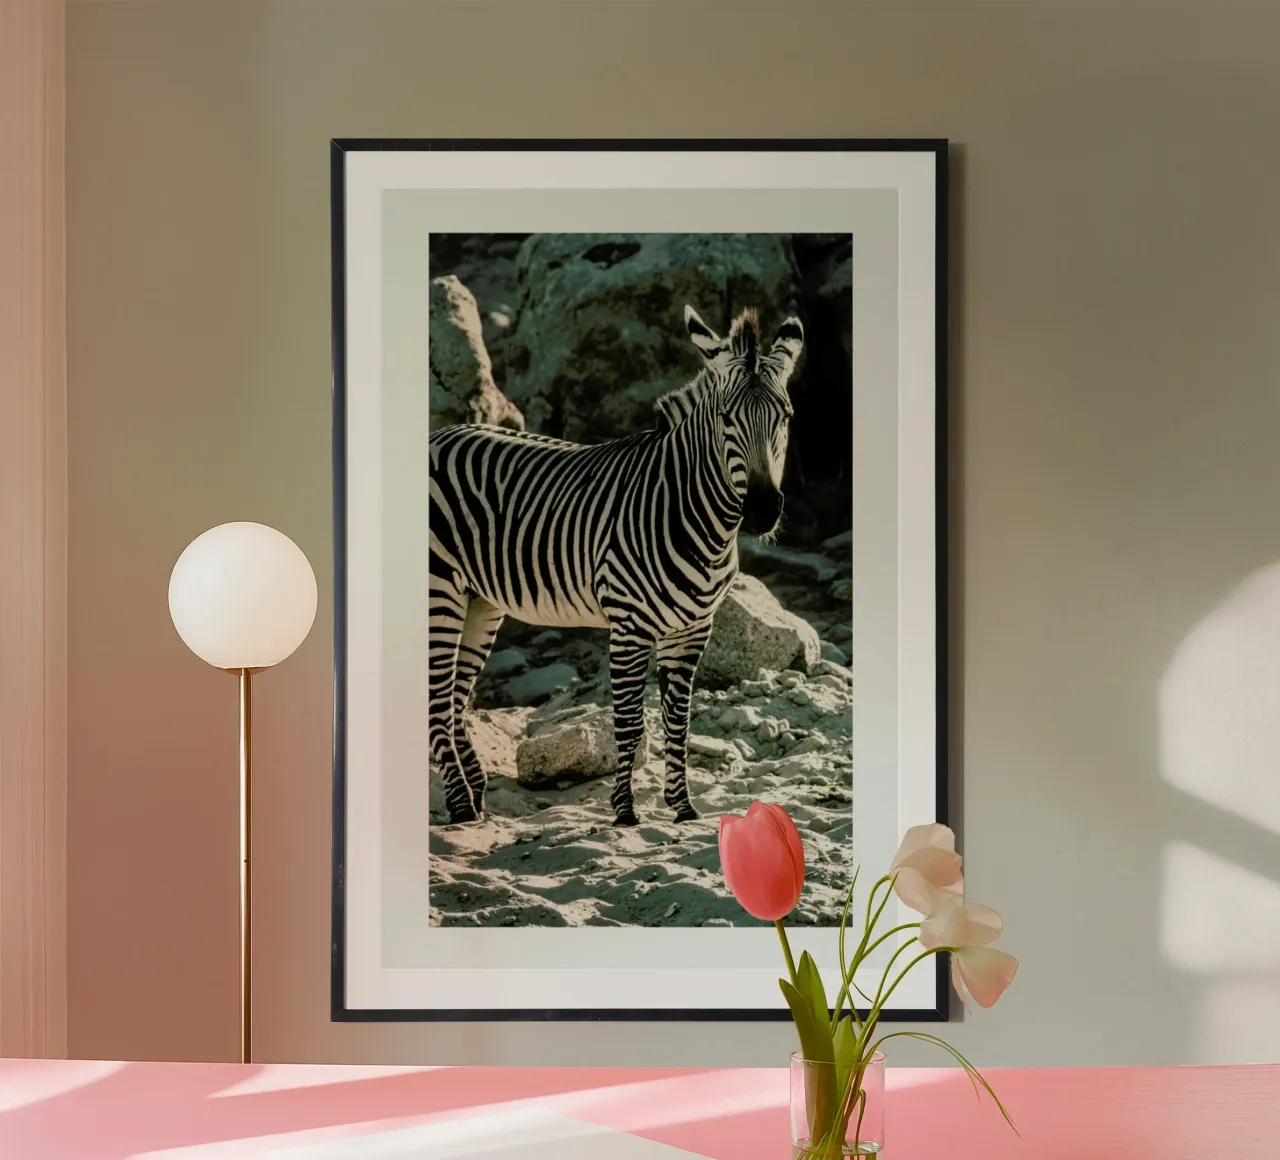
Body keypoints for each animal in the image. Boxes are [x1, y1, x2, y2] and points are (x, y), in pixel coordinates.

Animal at [428, 304, 804, 827]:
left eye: (785, 417)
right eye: (726, 418)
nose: (764, 510)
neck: (691, 512)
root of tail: (439, 434)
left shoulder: (694, 629)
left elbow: (678, 721)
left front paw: (683, 807)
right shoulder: (629, 624)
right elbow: (629, 722)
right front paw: (625, 810)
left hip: (479, 600)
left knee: (456, 698)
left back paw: (475, 797)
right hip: (439, 589)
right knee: (436, 700)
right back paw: (461, 806)